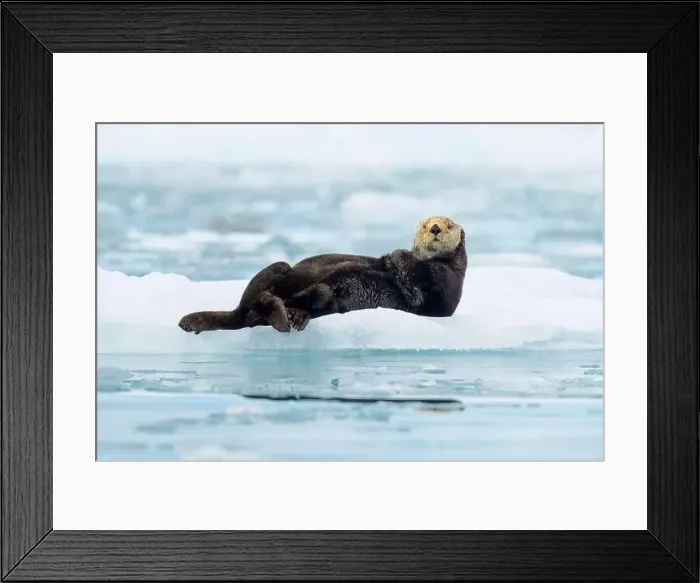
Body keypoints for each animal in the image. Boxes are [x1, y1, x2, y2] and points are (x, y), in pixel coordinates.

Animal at [178, 216, 467, 334]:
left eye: (449, 224)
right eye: (424, 225)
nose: (435, 228)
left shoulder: (443, 288)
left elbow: (420, 294)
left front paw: (398, 254)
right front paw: (394, 255)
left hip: (316, 295)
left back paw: (290, 318)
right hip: (279, 269)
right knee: (259, 296)